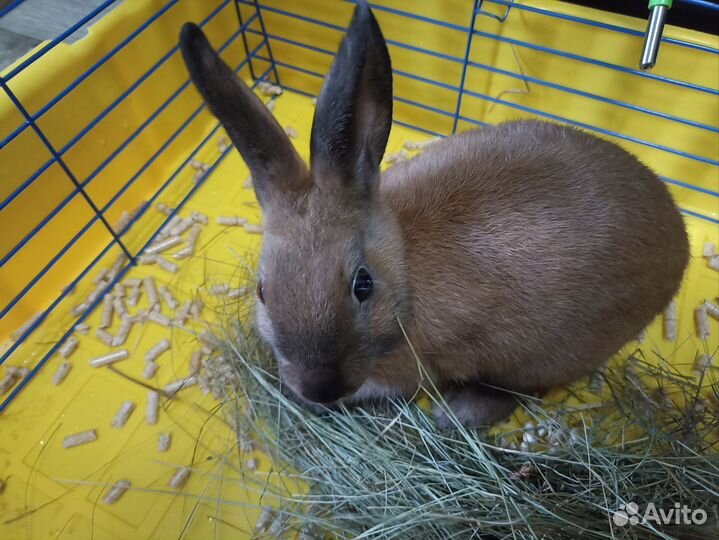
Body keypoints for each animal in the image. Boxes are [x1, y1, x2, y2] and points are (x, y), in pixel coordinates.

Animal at [179, 1, 689, 428]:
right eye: (262, 291)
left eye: (363, 285)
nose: (320, 389)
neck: (404, 271)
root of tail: (678, 242)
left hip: (545, 356)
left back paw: (456, 414)